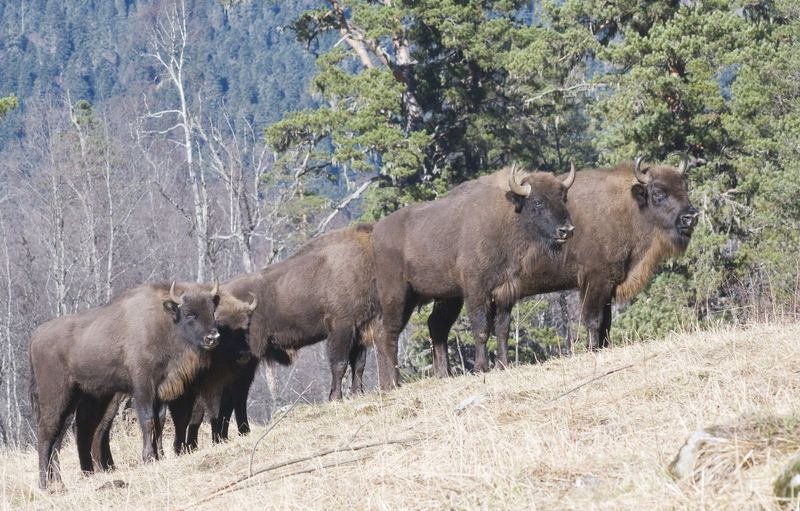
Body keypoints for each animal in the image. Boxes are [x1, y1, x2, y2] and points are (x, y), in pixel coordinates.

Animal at [28, 282, 222, 490]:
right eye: (189, 314)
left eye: (212, 310)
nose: (213, 337)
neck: (164, 321)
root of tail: (35, 337)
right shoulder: (143, 387)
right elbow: (148, 421)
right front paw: (148, 458)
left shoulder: (160, 390)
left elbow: (159, 422)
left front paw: (159, 456)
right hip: (55, 396)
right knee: (46, 433)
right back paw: (43, 484)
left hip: (73, 398)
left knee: (57, 437)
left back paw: (59, 482)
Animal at [370, 166, 576, 390]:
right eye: (538, 201)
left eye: (563, 197)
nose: (566, 230)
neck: (506, 214)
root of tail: (376, 233)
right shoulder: (476, 291)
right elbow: (481, 328)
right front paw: (481, 368)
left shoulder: (505, 291)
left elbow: (502, 329)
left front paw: (504, 364)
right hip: (397, 296)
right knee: (388, 333)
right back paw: (393, 383)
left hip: (444, 297)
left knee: (434, 327)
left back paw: (441, 374)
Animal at [428, 156, 696, 376]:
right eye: (658, 192)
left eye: (684, 187)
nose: (690, 217)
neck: (626, 204)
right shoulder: (595, 280)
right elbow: (593, 319)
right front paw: (592, 349)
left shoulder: (608, 284)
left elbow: (606, 322)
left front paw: (604, 347)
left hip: (450, 296)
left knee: (437, 325)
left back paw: (445, 373)